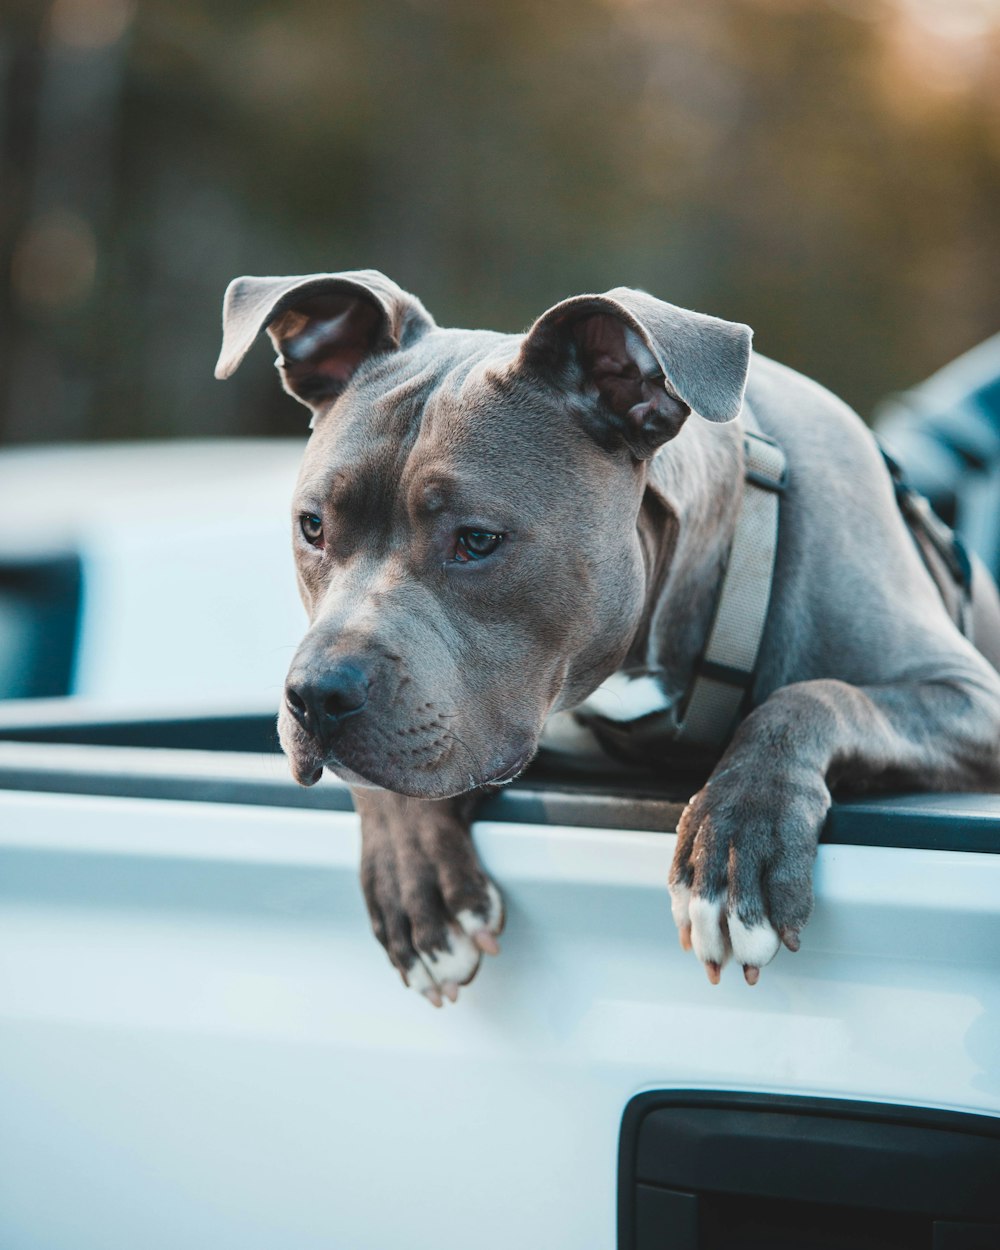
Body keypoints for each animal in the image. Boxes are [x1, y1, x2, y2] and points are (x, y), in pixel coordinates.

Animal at [215, 271, 1000, 1005]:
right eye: (313, 526)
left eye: (477, 540)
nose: (315, 696)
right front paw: (419, 886)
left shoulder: (971, 697)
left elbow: (817, 698)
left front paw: (735, 844)